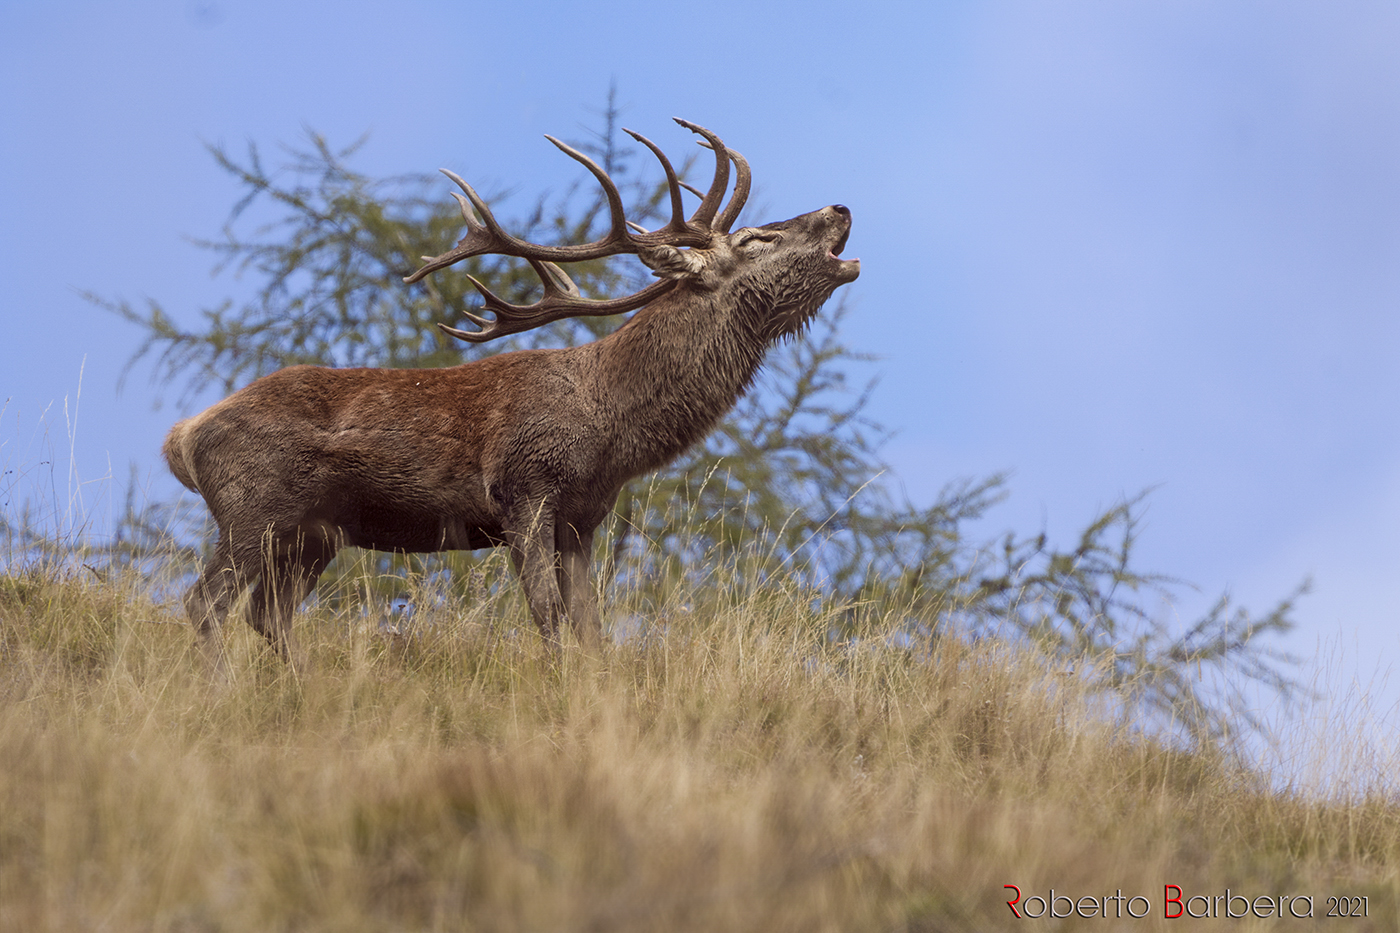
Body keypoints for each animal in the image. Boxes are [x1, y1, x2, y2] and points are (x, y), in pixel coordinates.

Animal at [163, 119, 860, 673]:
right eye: (756, 239)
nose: (841, 209)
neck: (609, 427)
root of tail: (183, 436)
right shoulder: (524, 490)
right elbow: (546, 616)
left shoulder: (583, 519)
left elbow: (590, 625)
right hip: (253, 510)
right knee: (203, 603)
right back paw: (222, 688)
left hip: (313, 535)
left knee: (266, 614)